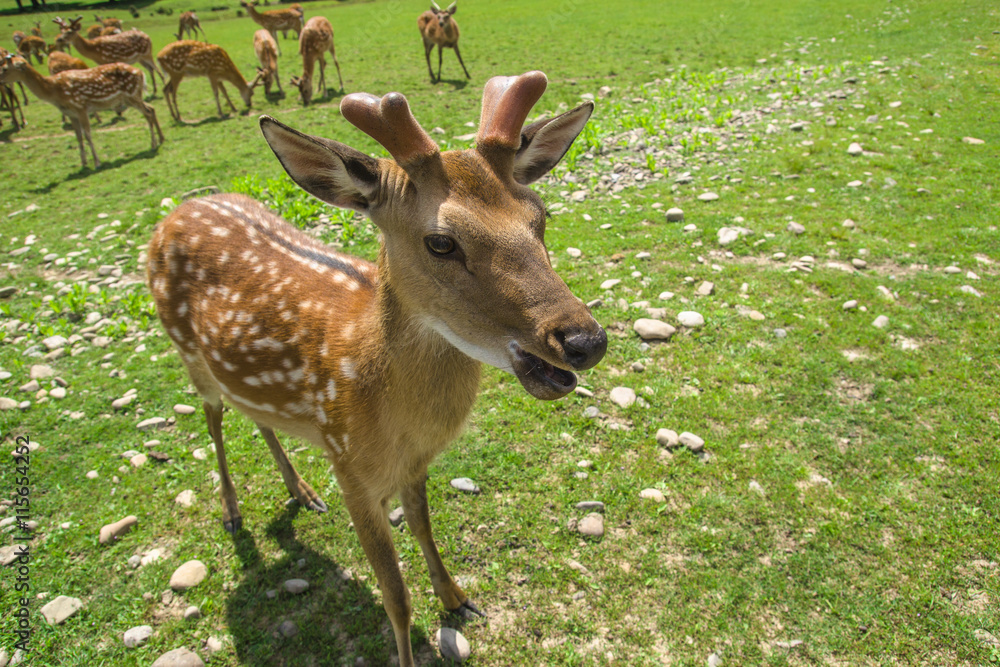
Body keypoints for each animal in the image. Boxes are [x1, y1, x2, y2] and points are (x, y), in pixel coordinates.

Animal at [0, 54, 163, 169]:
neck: (54, 92)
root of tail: (141, 72)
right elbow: (78, 136)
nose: (0, 80)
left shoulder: (80, 107)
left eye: (5, 68)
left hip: (132, 94)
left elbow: (87, 134)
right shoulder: (71, 113)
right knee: (152, 108)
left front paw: (97, 162)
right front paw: (83, 163)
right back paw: (161, 139)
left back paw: (153, 143)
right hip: (131, 98)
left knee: (148, 112)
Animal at [146, 70, 605, 667]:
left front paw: (458, 599)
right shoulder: (349, 468)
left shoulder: (414, 465)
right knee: (214, 418)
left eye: (540, 216)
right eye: (441, 241)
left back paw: (301, 491)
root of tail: (172, 216)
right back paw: (231, 509)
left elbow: (426, 529)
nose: (585, 340)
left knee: (257, 415)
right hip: (185, 350)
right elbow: (395, 597)